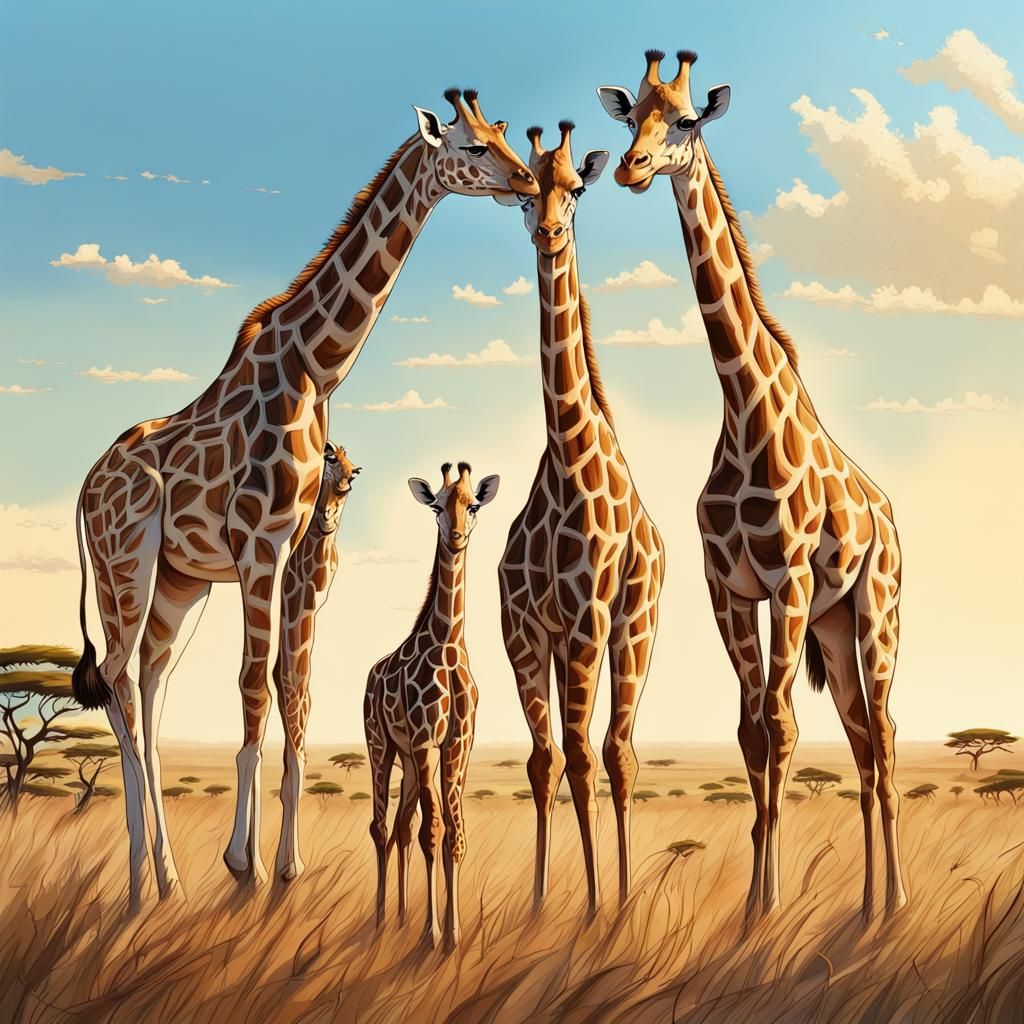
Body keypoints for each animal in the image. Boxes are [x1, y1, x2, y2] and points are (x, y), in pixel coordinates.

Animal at [364, 462, 499, 951]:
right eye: (437, 506)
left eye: (473, 505)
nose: (456, 536)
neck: (449, 645)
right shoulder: (426, 741)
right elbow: (432, 830)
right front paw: (432, 934)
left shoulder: (457, 745)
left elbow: (454, 835)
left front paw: (453, 934)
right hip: (381, 745)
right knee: (382, 826)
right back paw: (382, 918)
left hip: (405, 758)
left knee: (401, 826)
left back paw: (402, 916)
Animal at [599, 50, 907, 921]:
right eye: (631, 116)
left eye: (685, 121)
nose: (632, 167)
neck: (742, 410)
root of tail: (892, 519)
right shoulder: (729, 585)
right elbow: (750, 730)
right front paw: (752, 906)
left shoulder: (789, 579)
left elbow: (779, 722)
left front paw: (767, 908)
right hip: (834, 628)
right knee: (862, 740)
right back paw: (868, 904)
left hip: (873, 611)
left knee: (885, 734)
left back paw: (897, 903)